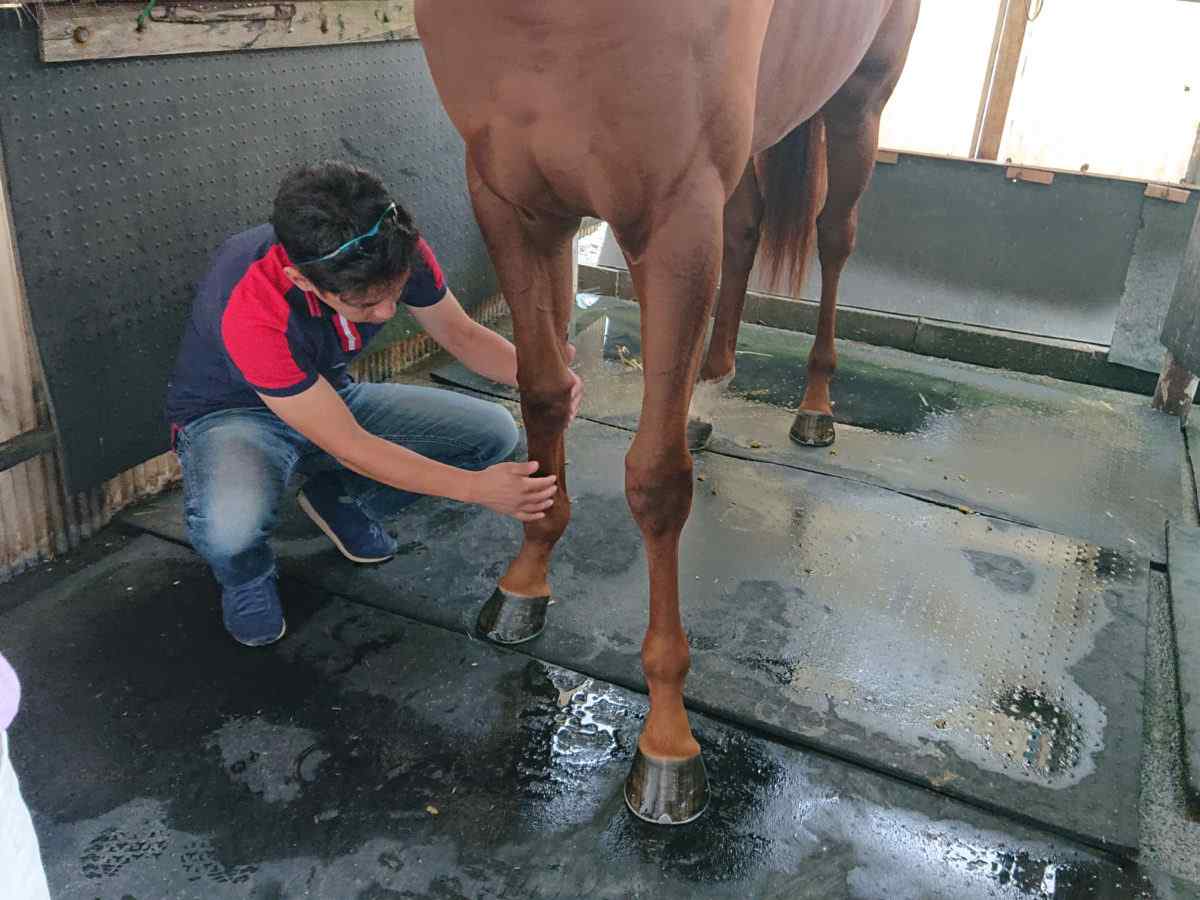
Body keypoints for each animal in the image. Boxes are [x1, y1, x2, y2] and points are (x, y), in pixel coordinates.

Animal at [417, 0, 921, 825]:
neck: (546, 22)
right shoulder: (512, 202)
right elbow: (543, 392)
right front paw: (525, 582)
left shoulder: (674, 217)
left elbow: (656, 481)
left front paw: (666, 740)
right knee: (745, 228)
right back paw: (702, 395)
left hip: (858, 105)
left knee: (834, 236)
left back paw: (815, 407)